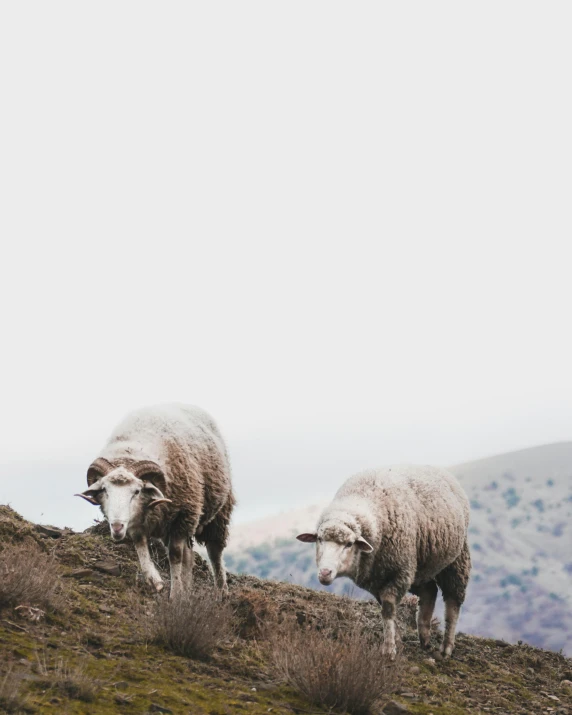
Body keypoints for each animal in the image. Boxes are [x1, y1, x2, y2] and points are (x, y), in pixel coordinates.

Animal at [76, 402, 235, 600]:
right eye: (105, 490)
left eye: (137, 491)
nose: (117, 527)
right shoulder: (136, 522)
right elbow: (140, 546)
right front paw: (155, 581)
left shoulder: (183, 516)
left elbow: (175, 555)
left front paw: (175, 595)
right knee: (189, 555)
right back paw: (188, 587)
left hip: (217, 512)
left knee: (214, 551)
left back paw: (221, 591)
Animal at [298, 464, 472, 660]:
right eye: (319, 539)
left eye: (349, 544)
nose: (325, 573)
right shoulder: (377, 580)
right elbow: (387, 609)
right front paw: (396, 640)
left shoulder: (398, 572)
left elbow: (388, 608)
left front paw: (389, 649)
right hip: (419, 566)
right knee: (430, 591)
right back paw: (425, 637)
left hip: (454, 559)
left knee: (453, 600)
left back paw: (446, 647)